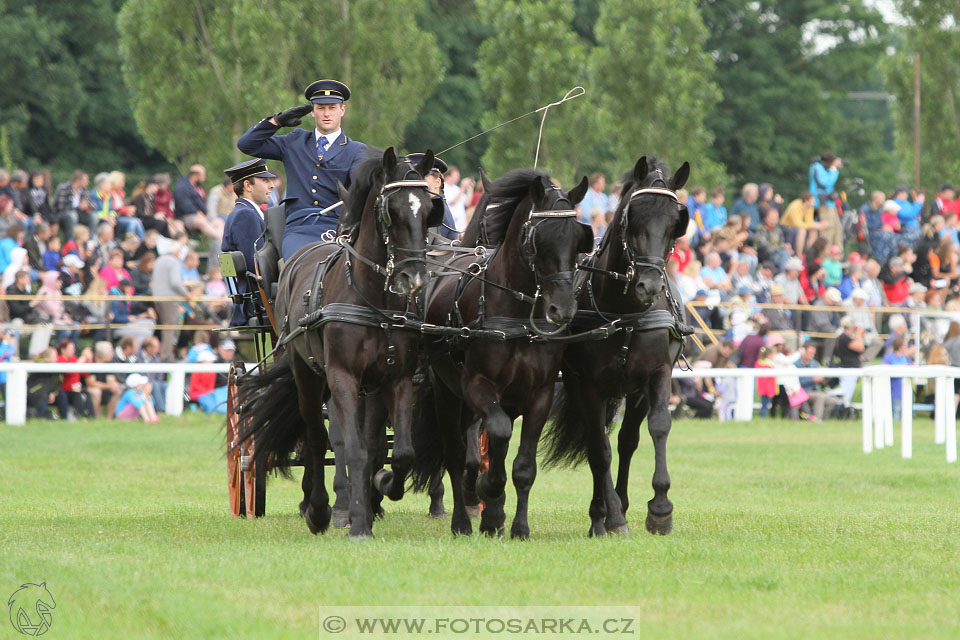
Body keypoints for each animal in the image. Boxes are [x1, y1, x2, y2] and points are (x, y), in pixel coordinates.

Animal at [242, 150, 448, 540]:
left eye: (430, 209)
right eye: (391, 210)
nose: (413, 276)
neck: (372, 298)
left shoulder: (397, 380)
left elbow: (399, 451)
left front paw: (382, 487)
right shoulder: (342, 377)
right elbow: (350, 448)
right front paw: (354, 521)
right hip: (309, 377)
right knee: (315, 436)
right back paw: (319, 509)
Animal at [410, 168, 592, 536]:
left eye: (577, 240)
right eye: (539, 238)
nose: (563, 309)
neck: (517, 314)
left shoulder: (540, 394)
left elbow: (522, 464)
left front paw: (516, 525)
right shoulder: (477, 384)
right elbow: (497, 433)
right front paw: (488, 493)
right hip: (445, 391)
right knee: (455, 453)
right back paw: (463, 518)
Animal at [544, 155, 688, 536]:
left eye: (675, 222)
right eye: (632, 216)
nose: (648, 286)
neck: (625, 313)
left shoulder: (656, 374)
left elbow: (656, 428)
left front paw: (660, 508)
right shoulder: (586, 384)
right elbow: (599, 448)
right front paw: (611, 517)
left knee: (626, 441)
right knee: (598, 444)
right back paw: (602, 513)